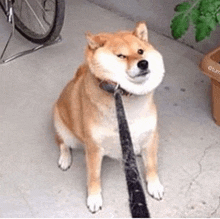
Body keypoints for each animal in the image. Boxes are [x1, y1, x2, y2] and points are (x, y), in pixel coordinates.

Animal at [53, 22, 165, 214]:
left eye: (141, 51)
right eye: (121, 56)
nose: (144, 63)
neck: (126, 101)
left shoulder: (151, 135)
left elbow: (152, 165)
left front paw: (154, 185)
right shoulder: (94, 147)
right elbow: (93, 176)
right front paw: (94, 198)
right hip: (62, 126)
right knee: (63, 143)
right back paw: (65, 158)